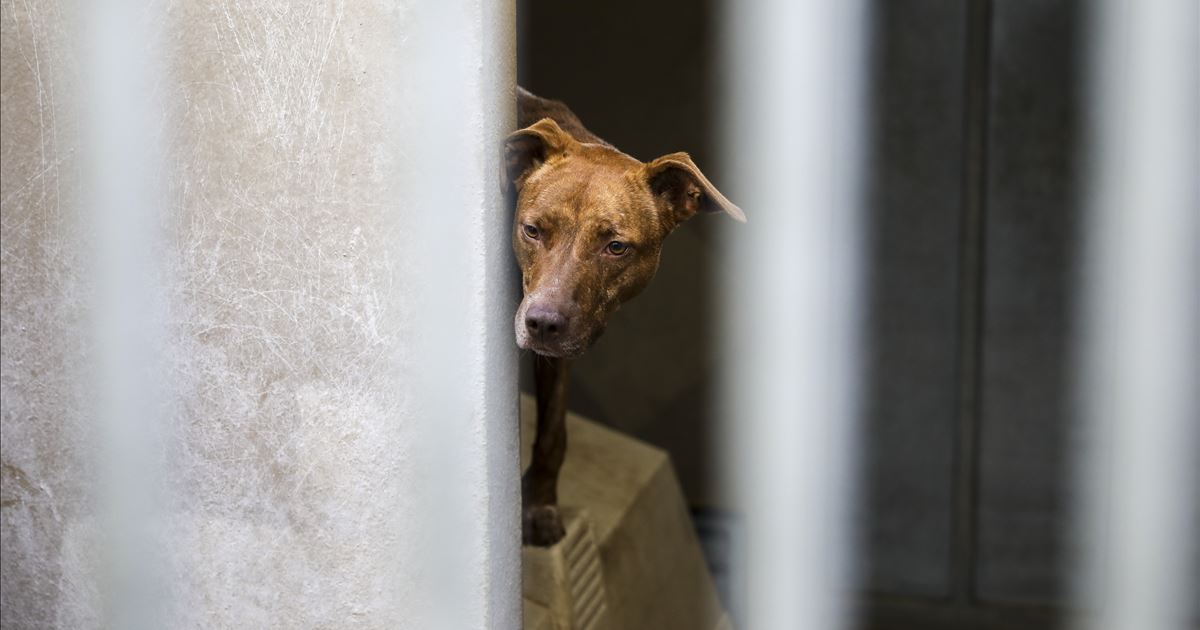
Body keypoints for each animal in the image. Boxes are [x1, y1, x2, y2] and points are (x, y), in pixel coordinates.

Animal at [504, 87, 739, 544]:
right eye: (532, 230)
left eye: (615, 246)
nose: (542, 323)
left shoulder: (558, 353)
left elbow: (553, 431)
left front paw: (539, 506)